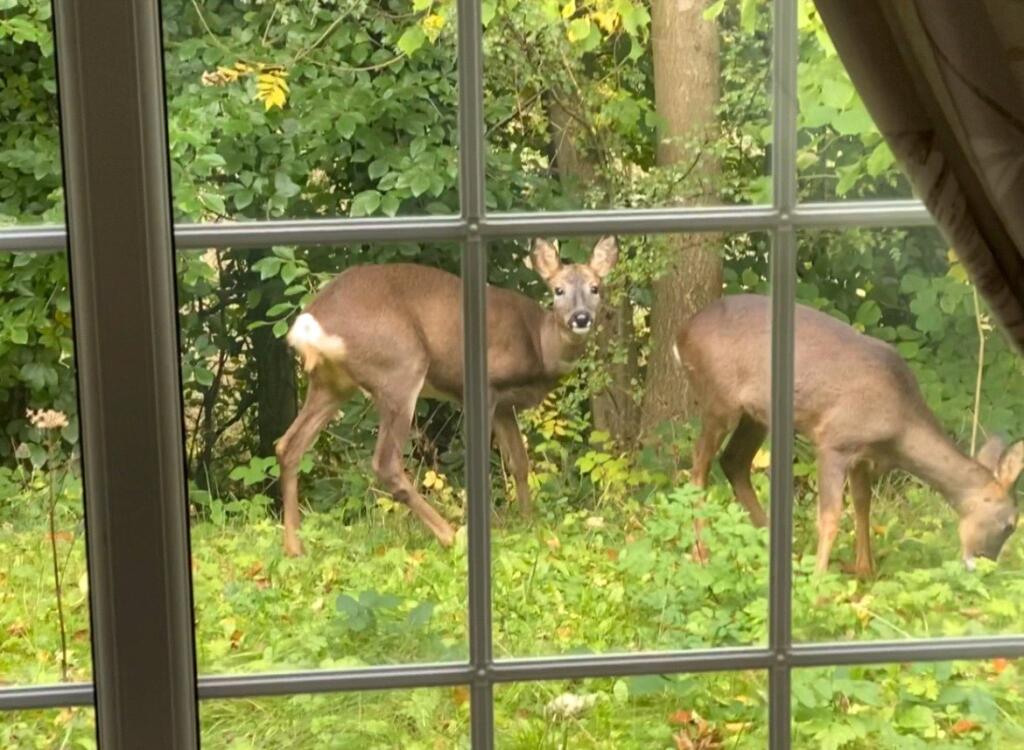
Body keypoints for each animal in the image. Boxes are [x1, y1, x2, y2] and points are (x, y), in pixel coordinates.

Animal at [275, 237, 619, 556]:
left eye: (595, 287)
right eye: (558, 290)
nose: (580, 317)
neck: (539, 344)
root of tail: (310, 323)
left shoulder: (505, 406)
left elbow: (519, 463)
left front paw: (528, 520)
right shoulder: (485, 388)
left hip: (331, 383)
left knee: (288, 446)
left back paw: (294, 548)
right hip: (399, 366)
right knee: (385, 462)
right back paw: (449, 535)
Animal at [674, 293, 1022, 577]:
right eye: (1010, 524)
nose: (984, 562)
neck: (899, 426)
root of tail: (682, 334)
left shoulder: (863, 456)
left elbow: (863, 504)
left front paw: (864, 571)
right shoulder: (834, 441)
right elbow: (830, 516)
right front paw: (819, 586)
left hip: (755, 414)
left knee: (733, 461)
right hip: (719, 399)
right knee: (698, 466)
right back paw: (701, 553)